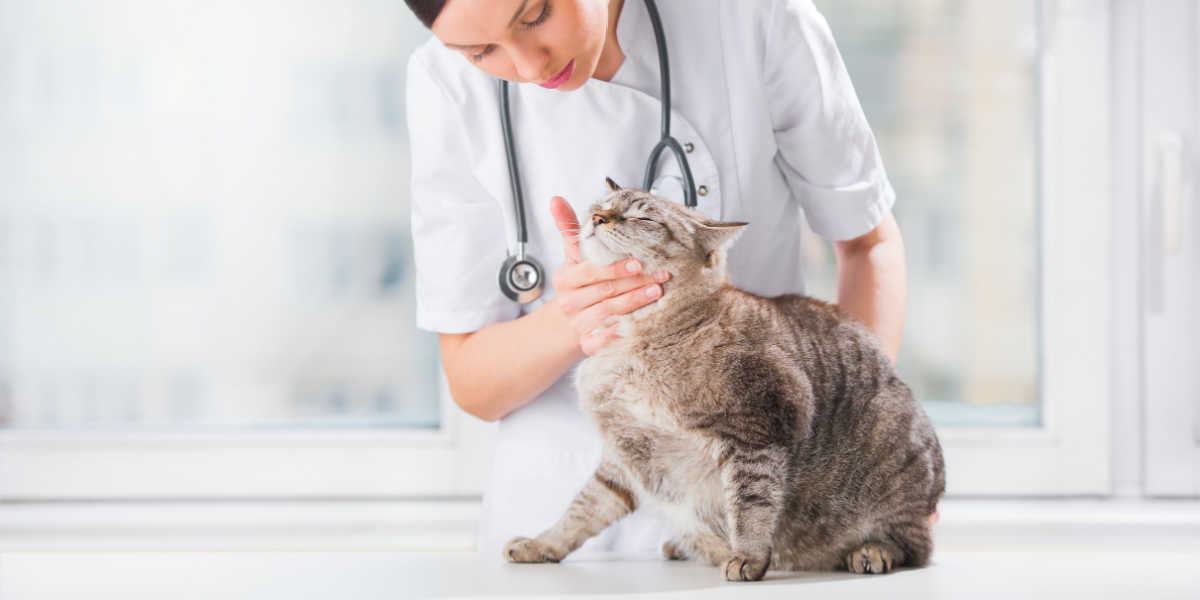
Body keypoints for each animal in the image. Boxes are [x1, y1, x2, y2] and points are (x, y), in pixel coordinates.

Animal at [501, 177, 940, 580]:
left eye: (643, 217)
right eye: (602, 205)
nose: (597, 218)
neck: (628, 341)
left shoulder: (758, 426)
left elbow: (751, 504)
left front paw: (747, 556)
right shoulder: (624, 457)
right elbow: (581, 511)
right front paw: (540, 544)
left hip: (895, 466)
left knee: (915, 545)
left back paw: (871, 551)